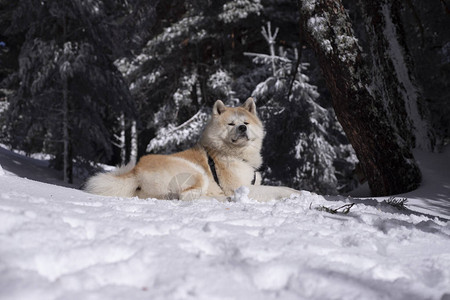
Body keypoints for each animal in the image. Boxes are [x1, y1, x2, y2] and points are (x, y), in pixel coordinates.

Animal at [86, 98, 300, 202]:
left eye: (246, 123)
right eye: (231, 124)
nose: (242, 128)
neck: (233, 154)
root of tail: (136, 170)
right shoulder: (240, 186)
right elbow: (279, 189)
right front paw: (299, 193)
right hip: (196, 173)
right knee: (187, 196)